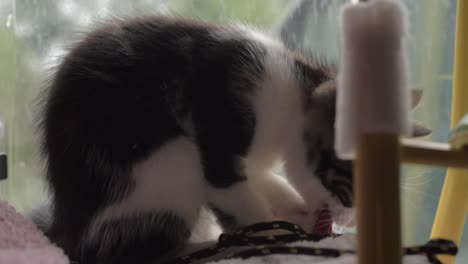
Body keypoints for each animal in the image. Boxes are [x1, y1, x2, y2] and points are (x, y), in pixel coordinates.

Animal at [37, 16, 428, 264]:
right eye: (351, 179)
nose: (351, 221)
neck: (293, 96)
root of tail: (67, 228)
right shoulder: (221, 124)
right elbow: (239, 198)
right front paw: (272, 235)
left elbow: (265, 180)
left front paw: (292, 211)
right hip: (169, 159)